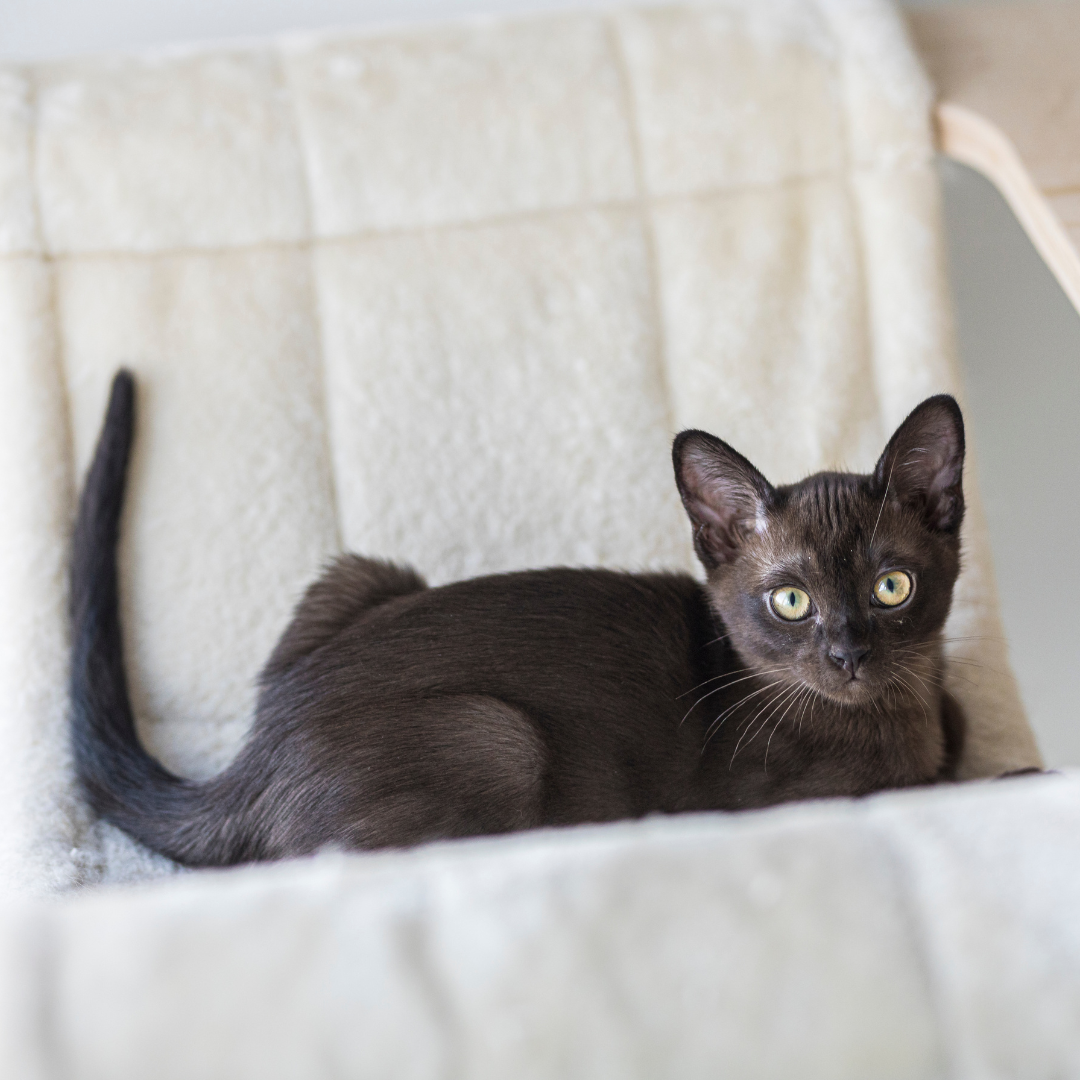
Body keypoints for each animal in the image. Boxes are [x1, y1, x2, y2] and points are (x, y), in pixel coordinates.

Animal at [73, 375, 972, 864]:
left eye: (892, 587)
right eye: (791, 602)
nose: (849, 653)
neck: (903, 714)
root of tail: (251, 758)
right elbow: (946, 779)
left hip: (364, 574)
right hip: (496, 734)